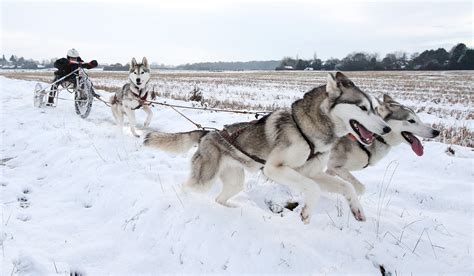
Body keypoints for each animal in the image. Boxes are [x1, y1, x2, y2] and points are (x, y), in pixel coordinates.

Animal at [143, 72, 390, 223]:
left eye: (375, 108)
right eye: (362, 108)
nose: (386, 129)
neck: (308, 131)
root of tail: (208, 133)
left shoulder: (313, 173)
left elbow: (345, 186)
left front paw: (357, 209)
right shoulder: (275, 169)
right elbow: (313, 188)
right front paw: (307, 212)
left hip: (235, 181)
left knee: (219, 199)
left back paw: (229, 210)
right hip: (204, 180)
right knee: (186, 187)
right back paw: (184, 203)